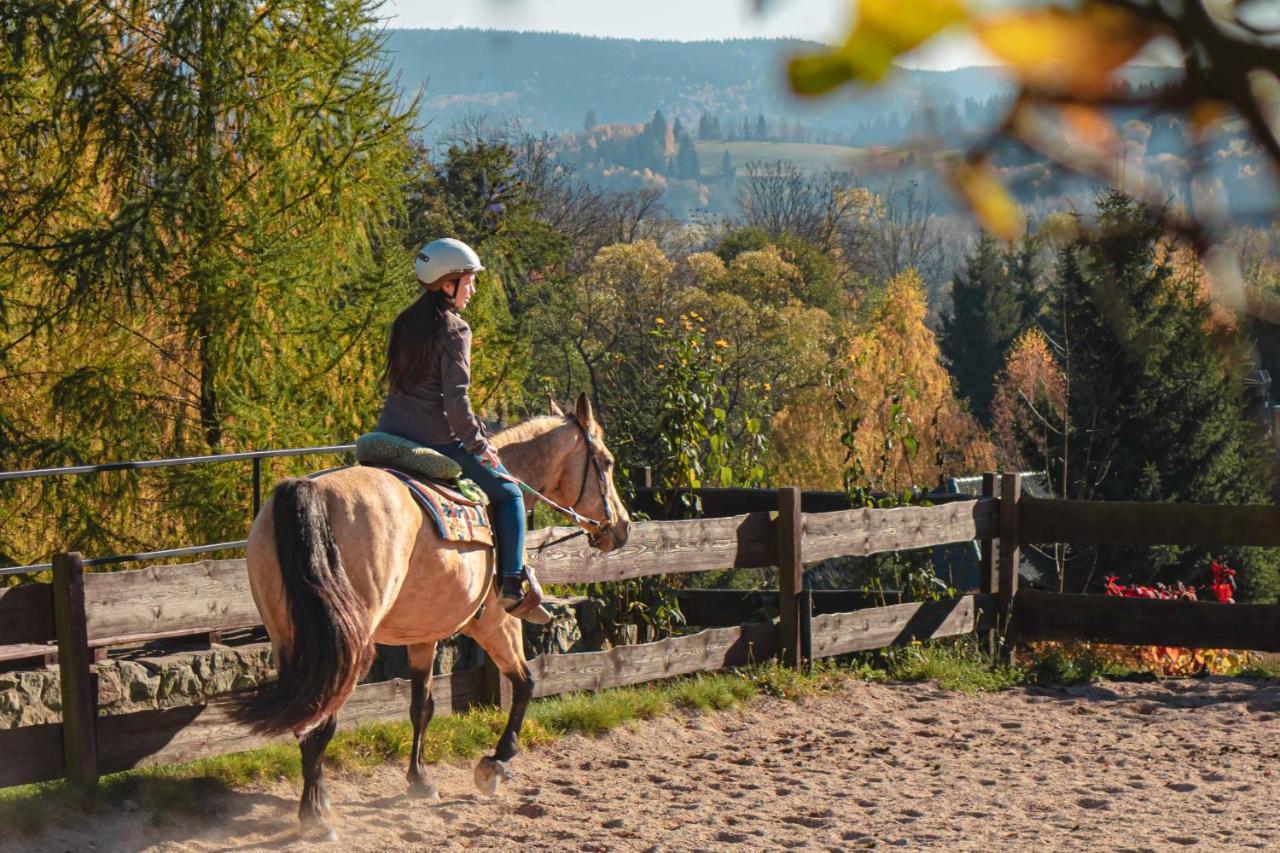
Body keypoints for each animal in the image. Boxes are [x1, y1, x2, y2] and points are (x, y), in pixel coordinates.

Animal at [232, 391, 632, 835]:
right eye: (606, 461)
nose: (622, 527)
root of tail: (309, 490)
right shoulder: (497, 622)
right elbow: (526, 683)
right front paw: (495, 764)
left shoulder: (422, 635)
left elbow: (421, 705)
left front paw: (419, 780)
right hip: (348, 643)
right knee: (323, 716)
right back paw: (315, 816)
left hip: (291, 637)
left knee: (310, 715)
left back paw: (317, 805)